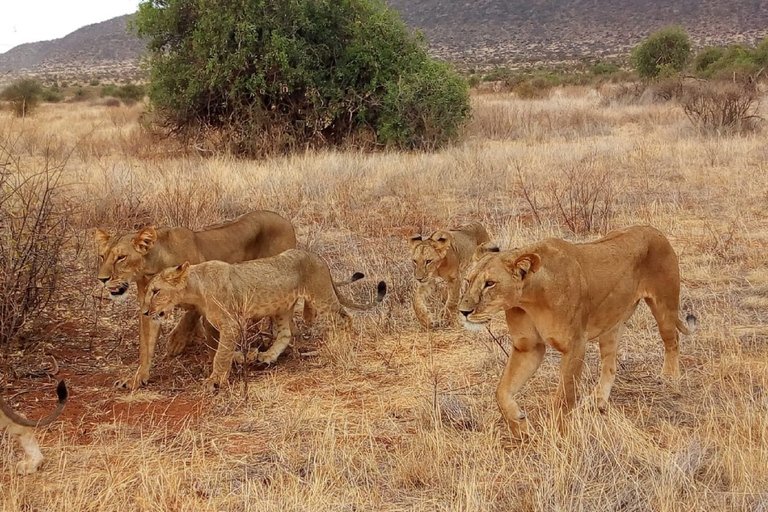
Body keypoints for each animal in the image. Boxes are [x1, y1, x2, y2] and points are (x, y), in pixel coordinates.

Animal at [94, 209, 298, 388]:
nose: (102, 279)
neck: (153, 267)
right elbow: (146, 346)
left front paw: (176, 341)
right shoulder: (149, 306)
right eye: (102, 256)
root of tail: (286, 221)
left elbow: (191, 318)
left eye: (121, 258)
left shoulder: (204, 290)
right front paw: (137, 378)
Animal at [142, 250, 388, 390]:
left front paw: (215, 381)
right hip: (281, 307)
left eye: (155, 291)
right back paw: (267, 357)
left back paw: (340, 346)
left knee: (345, 318)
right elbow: (222, 351)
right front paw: (243, 358)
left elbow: (221, 355)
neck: (195, 289)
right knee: (286, 333)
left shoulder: (232, 323)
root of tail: (319, 258)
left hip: (321, 296)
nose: (144, 312)